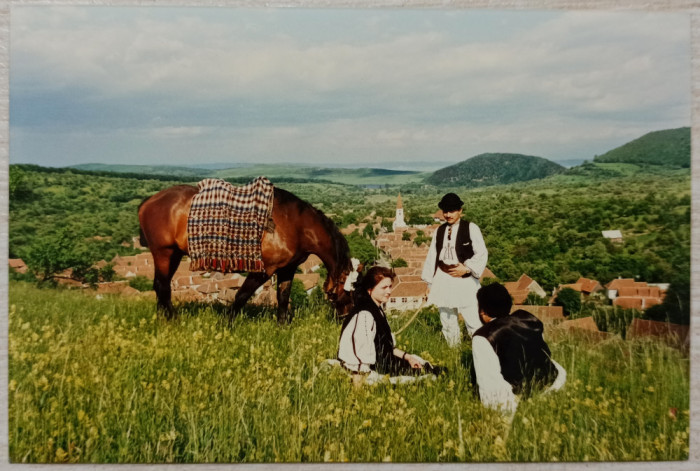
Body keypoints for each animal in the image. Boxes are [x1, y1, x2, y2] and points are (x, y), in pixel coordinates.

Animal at [137, 184, 356, 324]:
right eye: (350, 291)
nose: (346, 318)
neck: (297, 224)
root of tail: (149, 201)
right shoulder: (265, 269)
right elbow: (242, 295)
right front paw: (227, 324)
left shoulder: (287, 269)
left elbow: (283, 298)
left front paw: (282, 327)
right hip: (163, 253)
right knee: (162, 286)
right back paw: (171, 320)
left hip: (173, 254)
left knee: (162, 286)